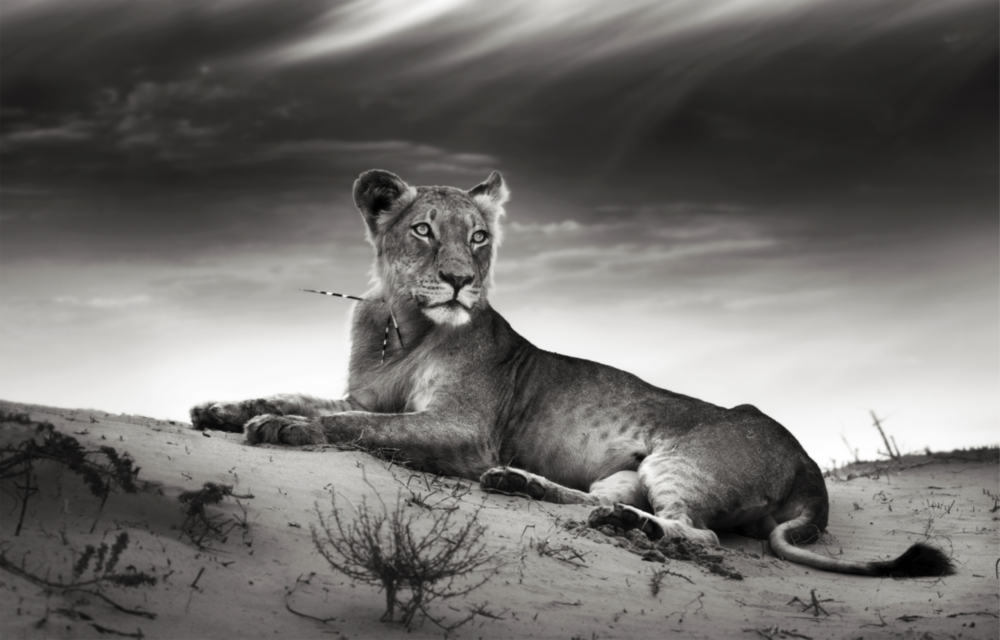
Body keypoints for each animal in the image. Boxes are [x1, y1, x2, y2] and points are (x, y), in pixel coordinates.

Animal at [191, 169, 952, 577]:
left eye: (478, 237)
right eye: (423, 230)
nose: (461, 282)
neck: (402, 325)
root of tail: (811, 471)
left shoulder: (464, 430)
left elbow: (357, 425)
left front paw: (284, 428)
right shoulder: (369, 393)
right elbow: (309, 396)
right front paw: (221, 410)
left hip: (682, 460)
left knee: (695, 533)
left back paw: (620, 525)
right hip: (627, 470)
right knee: (602, 501)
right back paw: (527, 487)